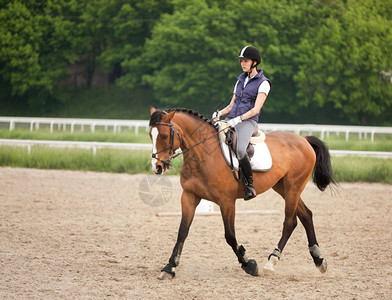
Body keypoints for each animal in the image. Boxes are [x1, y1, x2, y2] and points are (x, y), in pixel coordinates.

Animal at [149, 106, 336, 278]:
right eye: (151, 135)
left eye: (164, 135)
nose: (157, 167)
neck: (203, 154)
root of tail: (303, 139)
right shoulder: (189, 197)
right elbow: (182, 231)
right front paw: (169, 267)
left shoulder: (227, 202)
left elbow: (230, 236)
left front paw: (249, 264)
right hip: (283, 187)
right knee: (306, 215)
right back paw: (319, 260)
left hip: (293, 187)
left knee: (290, 222)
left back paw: (271, 261)